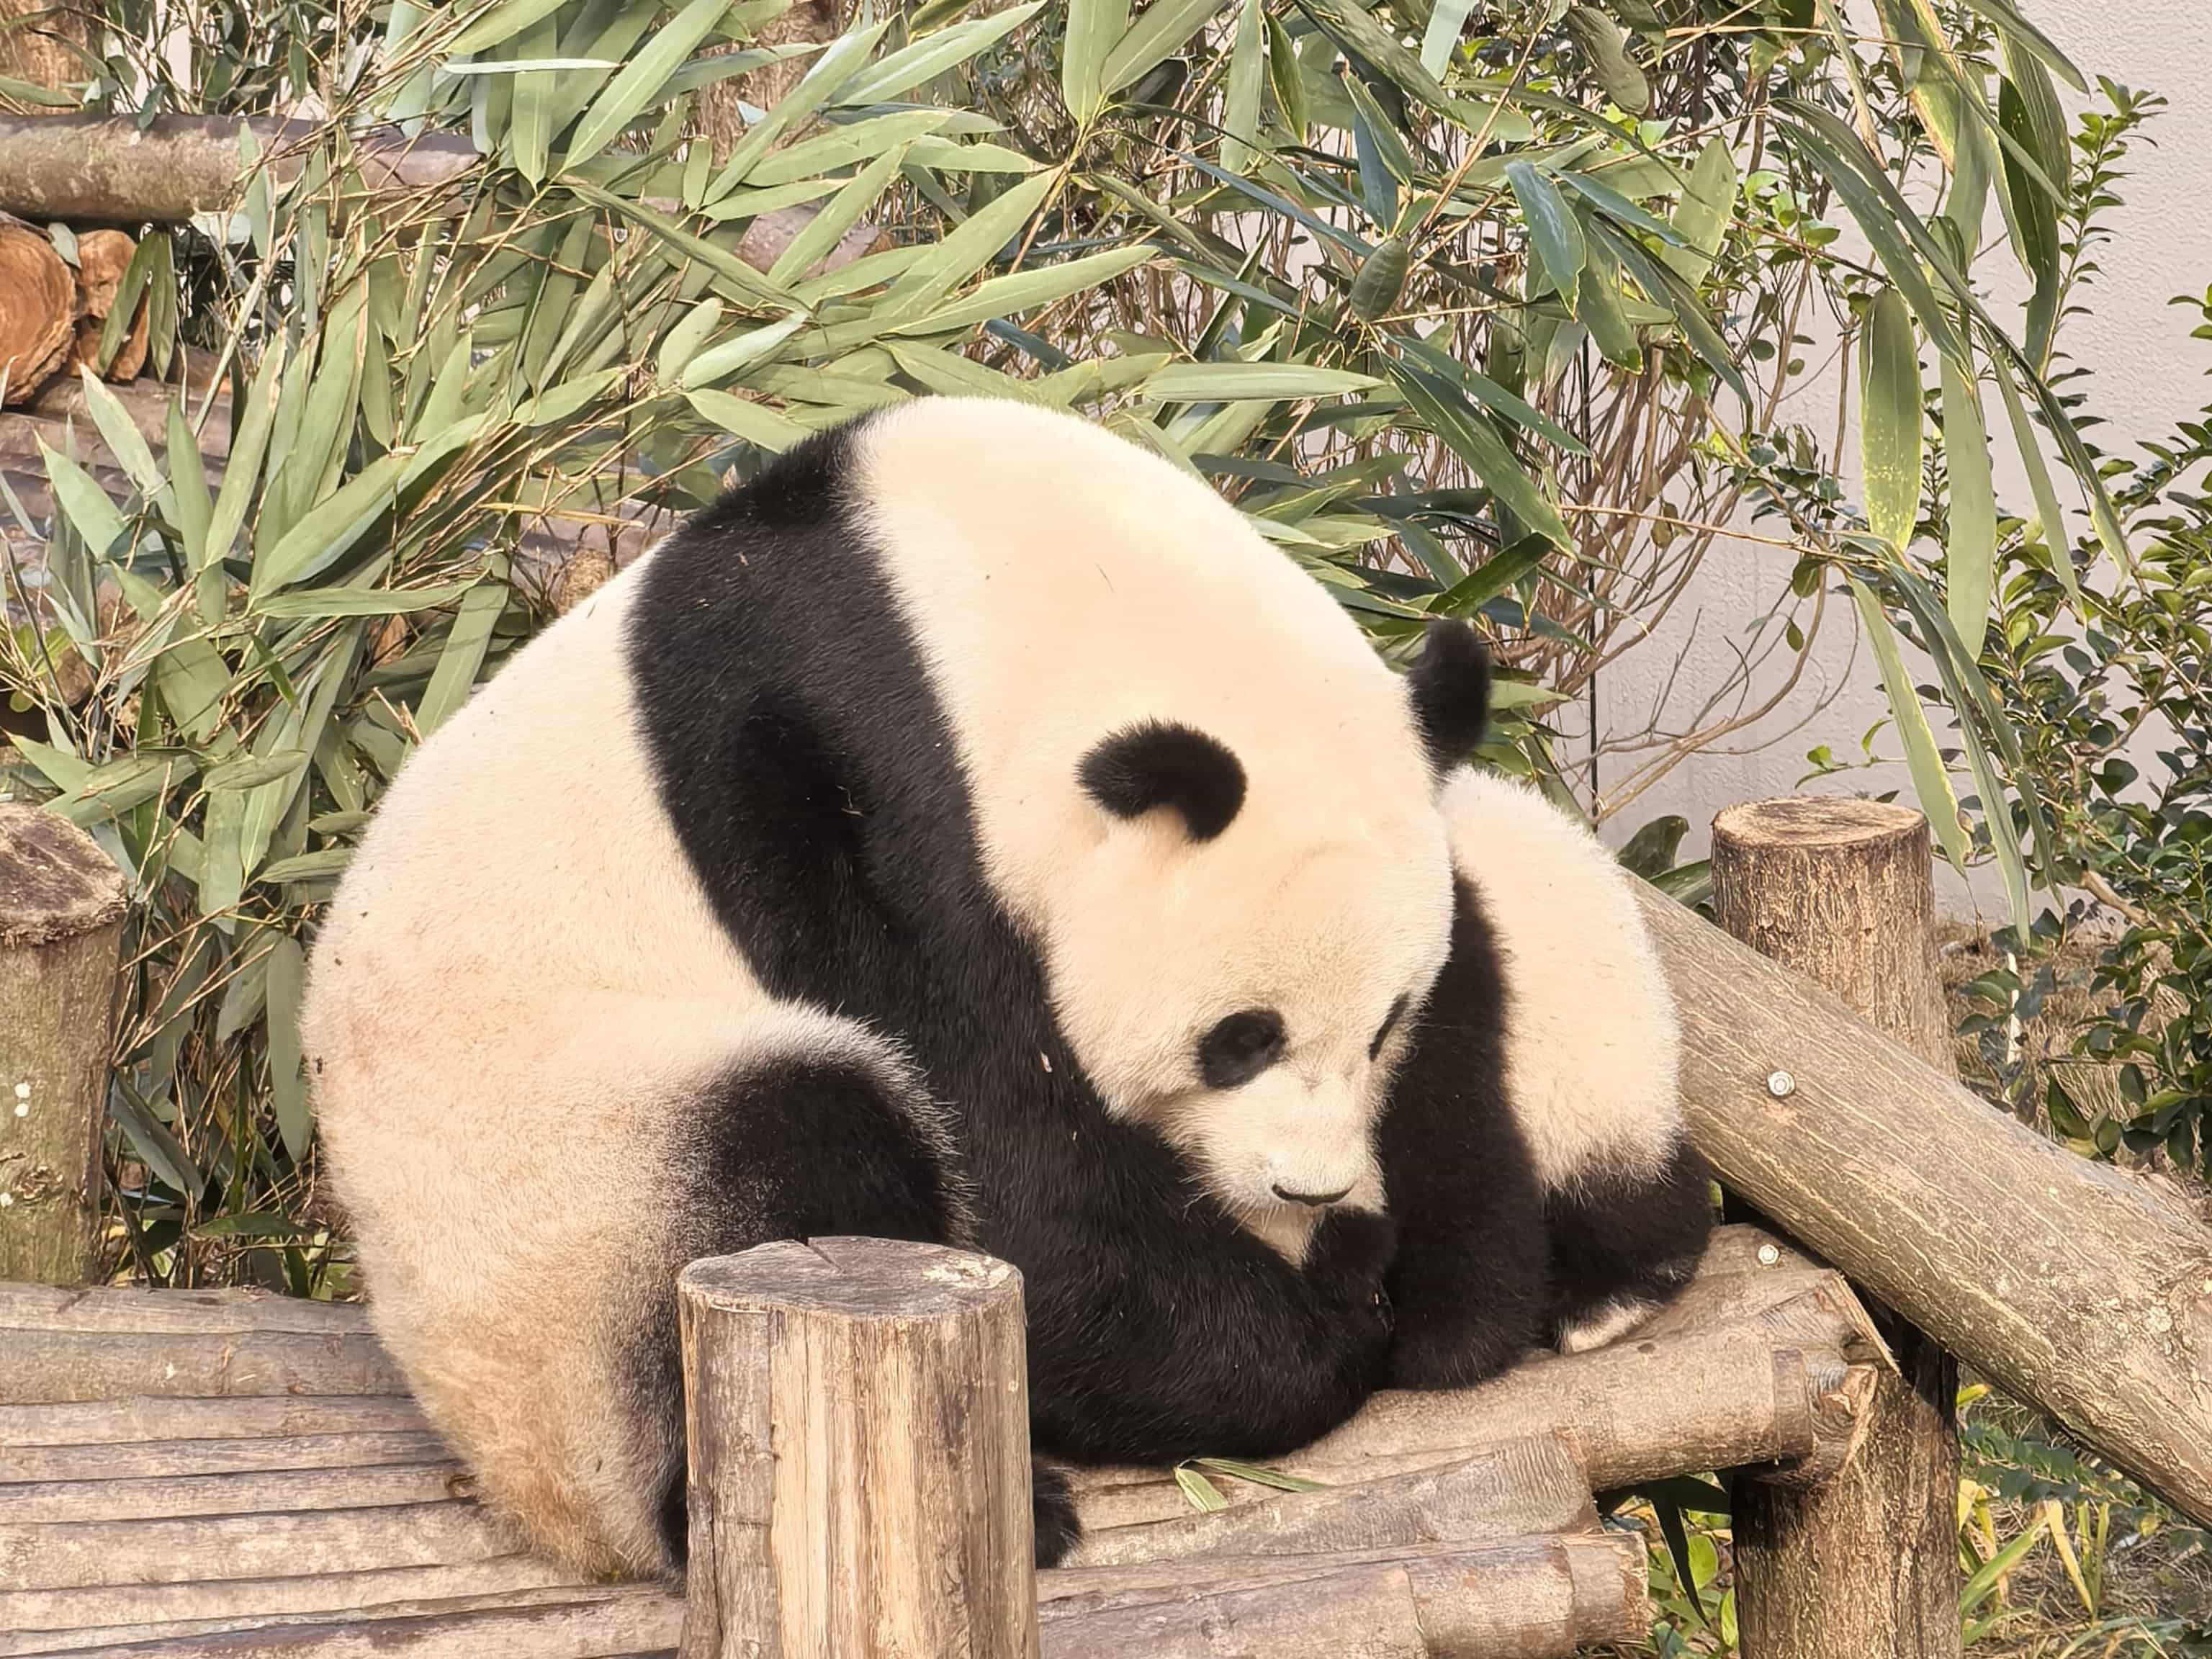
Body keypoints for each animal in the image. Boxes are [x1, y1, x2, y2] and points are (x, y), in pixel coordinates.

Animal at [299, 395, 1709, 1583]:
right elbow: (1007, 1149)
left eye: (1379, 1028)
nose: (1308, 1196)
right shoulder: (845, 775)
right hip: (565, 1201)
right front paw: (1310, 1335)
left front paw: (1424, 1284)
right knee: (795, 1137)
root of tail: (529, 1495)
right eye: (1237, 1040)